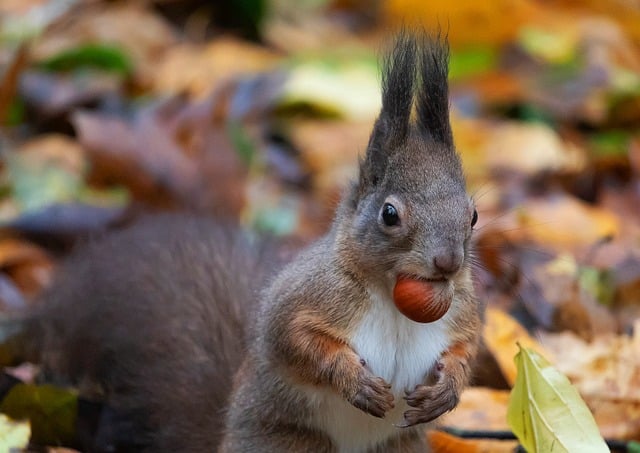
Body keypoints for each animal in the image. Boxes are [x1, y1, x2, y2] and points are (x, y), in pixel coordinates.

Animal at [26, 30, 484, 450]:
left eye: (473, 215)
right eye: (390, 214)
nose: (448, 262)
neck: (393, 300)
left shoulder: (462, 311)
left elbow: (466, 349)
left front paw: (448, 388)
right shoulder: (307, 296)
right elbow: (295, 340)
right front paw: (355, 381)